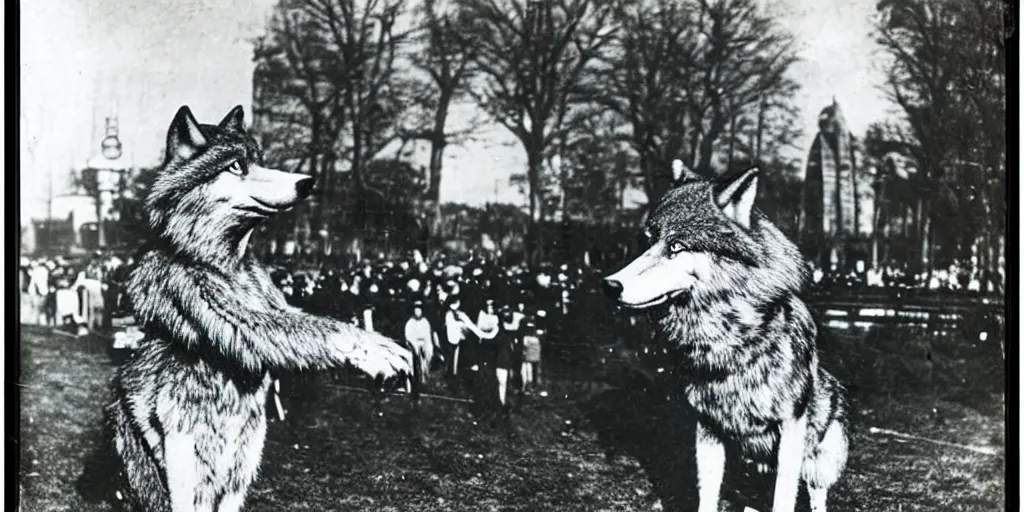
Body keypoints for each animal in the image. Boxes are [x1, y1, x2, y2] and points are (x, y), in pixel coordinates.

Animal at [100, 104, 411, 512]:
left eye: (260, 160)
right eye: (236, 166)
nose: (308, 182)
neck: (225, 264)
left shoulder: (274, 305)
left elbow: (300, 318)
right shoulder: (219, 311)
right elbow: (315, 328)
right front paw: (376, 350)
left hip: (240, 465)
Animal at [598, 159, 847, 512]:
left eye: (677, 246)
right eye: (648, 242)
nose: (609, 285)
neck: (728, 339)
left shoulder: (790, 428)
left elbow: (783, 498)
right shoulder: (707, 426)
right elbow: (707, 494)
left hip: (821, 455)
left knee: (816, 495)